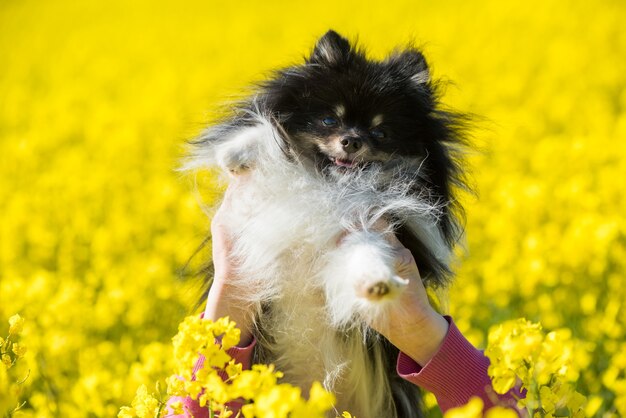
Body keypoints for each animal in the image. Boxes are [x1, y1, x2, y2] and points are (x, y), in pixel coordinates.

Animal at [183, 30, 466, 418]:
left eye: (381, 133)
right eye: (330, 121)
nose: (352, 140)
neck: (332, 182)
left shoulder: (376, 226)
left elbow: (367, 252)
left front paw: (376, 283)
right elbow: (267, 134)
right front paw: (236, 152)